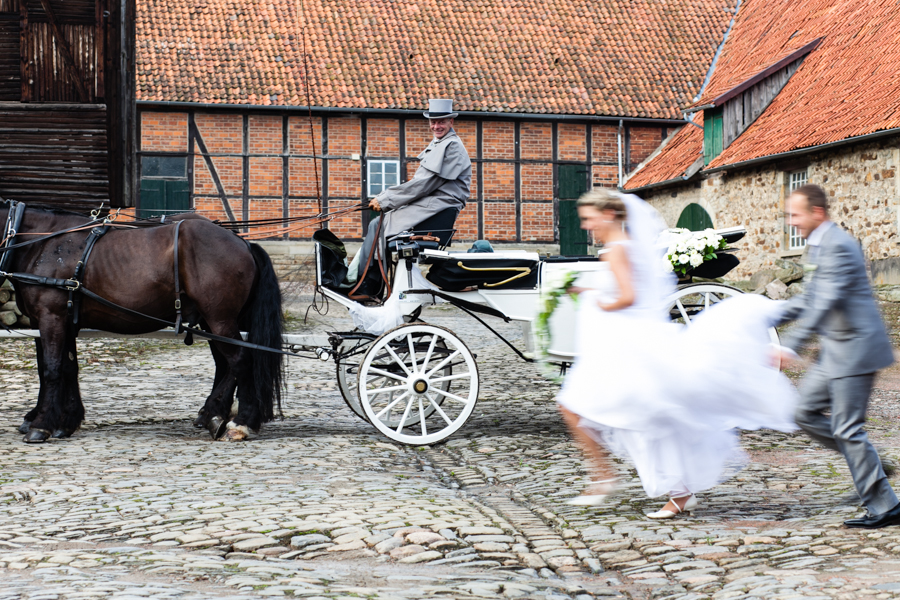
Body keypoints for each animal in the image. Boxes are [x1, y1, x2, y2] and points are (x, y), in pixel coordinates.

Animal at [0, 202, 282, 440]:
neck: (43, 244)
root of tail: (242, 242)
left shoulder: (51, 317)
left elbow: (51, 369)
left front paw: (41, 425)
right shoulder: (62, 321)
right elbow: (67, 368)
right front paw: (67, 421)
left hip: (220, 319)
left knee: (241, 361)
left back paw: (241, 423)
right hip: (212, 322)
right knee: (226, 365)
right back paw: (214, 415)